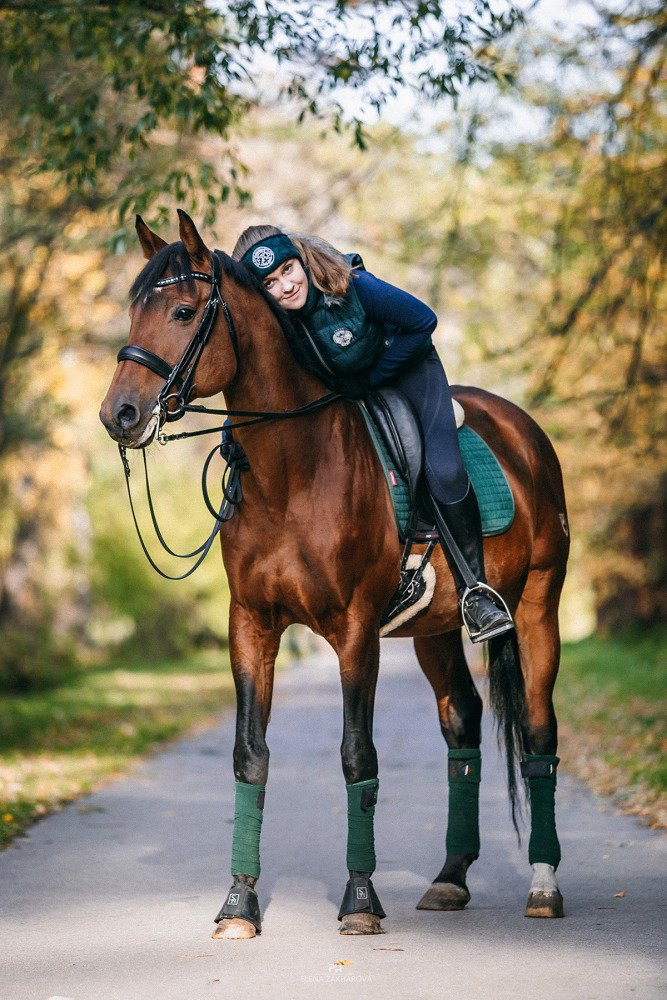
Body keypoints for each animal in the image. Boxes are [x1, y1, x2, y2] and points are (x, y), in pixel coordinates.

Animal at [99, 211, 568, 936]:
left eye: (181, 311)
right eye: (132, 310)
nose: (118, 414)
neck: (294, 472)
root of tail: (523, 430)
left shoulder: (354, 632)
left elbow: (356, 755)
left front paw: (360, 901)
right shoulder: (252, 626)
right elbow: (250, 755)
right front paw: (238, 904)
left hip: (539, 606)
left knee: (540, 732)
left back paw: (543, 884)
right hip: (435, 632)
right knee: (461, 724)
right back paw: (450, 877)